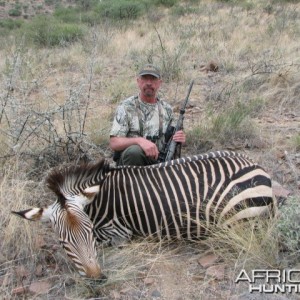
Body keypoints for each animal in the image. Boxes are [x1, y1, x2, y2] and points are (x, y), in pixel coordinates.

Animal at [11, 151, 276, 280]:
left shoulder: (119, 232)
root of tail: (258, 167)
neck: (99, 203)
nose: (97, 279)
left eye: (88, 234)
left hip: (233, 220)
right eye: (64, 242)